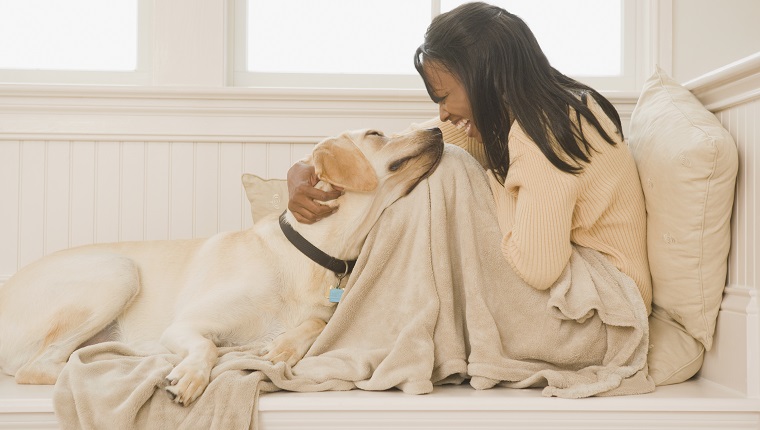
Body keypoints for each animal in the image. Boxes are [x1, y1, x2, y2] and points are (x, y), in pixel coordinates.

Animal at [0, 126, 446, 404]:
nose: (438, 131)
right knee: (41, 367)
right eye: (376, 134)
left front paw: (283, 345)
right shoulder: (188, 325)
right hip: (119, 272)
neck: (310, 254)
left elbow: (314, 324)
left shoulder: (322, 312)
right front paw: (191, 375)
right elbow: (207, 347)